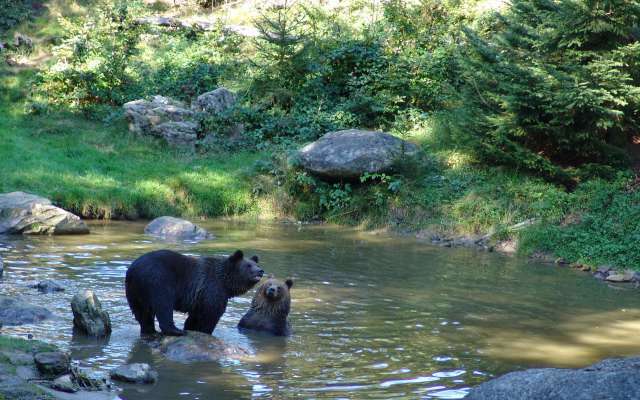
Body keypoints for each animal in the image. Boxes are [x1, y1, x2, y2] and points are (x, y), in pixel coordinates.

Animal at [126, 248, 264, 336]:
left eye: (255, 264)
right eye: (248, 266)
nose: (260, 271)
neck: (226, 282)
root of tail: (133, 270)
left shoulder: (200, 296)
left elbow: (195, 316)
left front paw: (191, 328)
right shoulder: (212, 288)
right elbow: (210, 314)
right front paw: (204, 331)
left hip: (134, 291)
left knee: (142, 312)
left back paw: (149, 331)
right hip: (158, 280)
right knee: (163, 304)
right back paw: (176, 331)